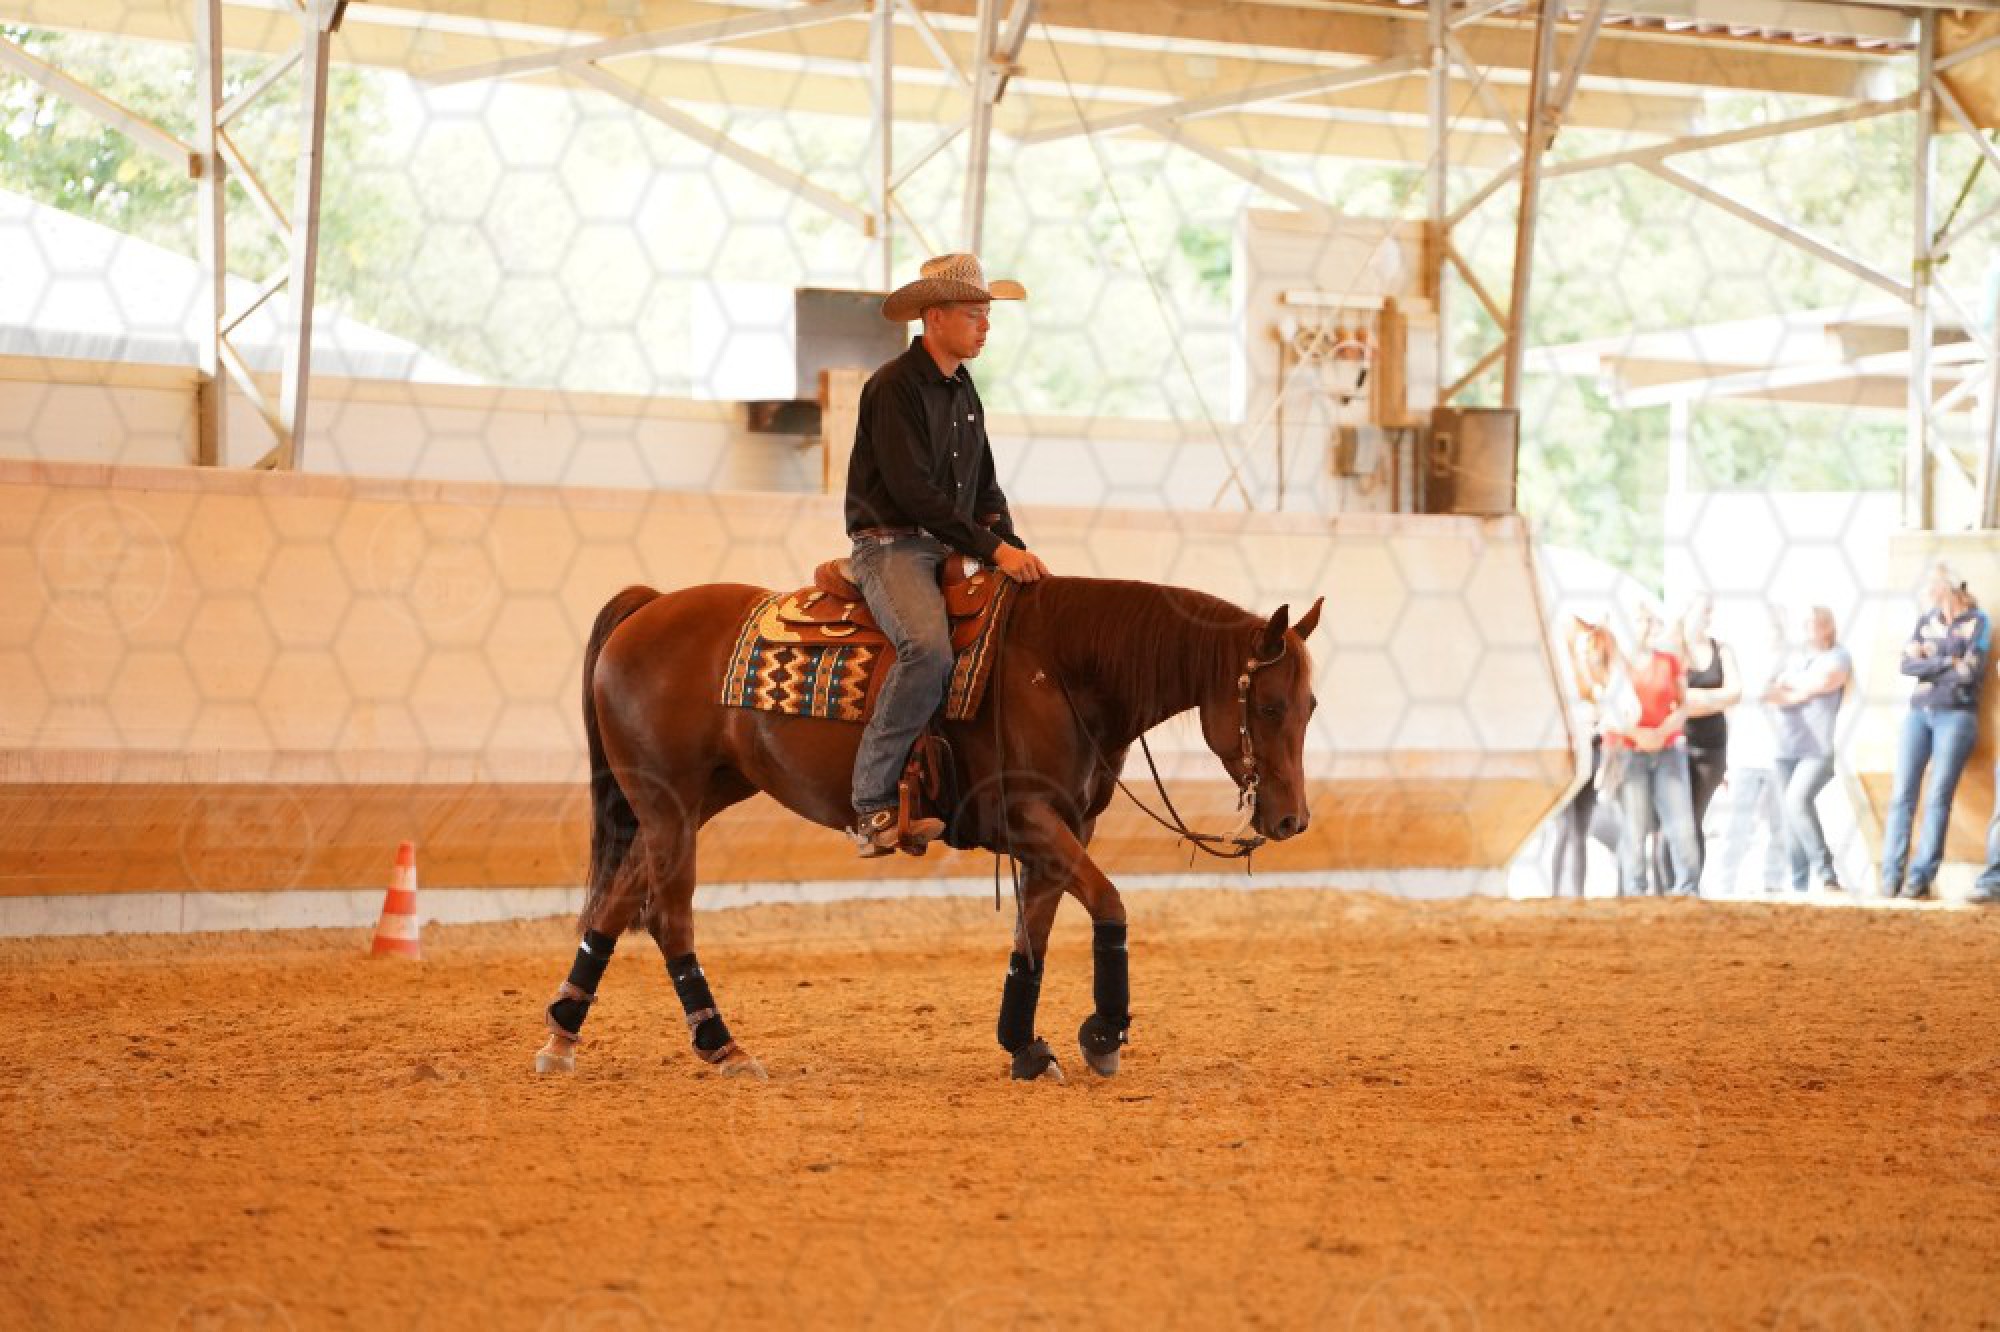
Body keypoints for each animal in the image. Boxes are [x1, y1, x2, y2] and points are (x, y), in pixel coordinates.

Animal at [535, 573, 1323, 1083]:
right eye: (1270, 706)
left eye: (1311, 704)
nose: (1292, 819)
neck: (1060, 667)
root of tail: (647, 608)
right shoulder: (1031, 818)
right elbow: (1109, 903)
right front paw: (1102, 1033)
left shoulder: (1059, 828)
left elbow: (1032, 937)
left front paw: (1024, 1045)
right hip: (669, 804)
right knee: (668, 916)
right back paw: (722, 1047)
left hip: (689, 801)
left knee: (618, 901)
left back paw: (563, 1034)